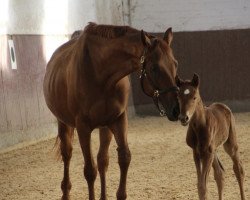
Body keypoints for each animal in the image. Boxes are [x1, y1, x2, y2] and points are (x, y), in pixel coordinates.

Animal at [43, 22, 180, 199]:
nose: (176, 109)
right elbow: (90, 171)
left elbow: (124, 158)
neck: (101, 73)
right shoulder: (83, 127)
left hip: (104, 127)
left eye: (175, 64)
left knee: (102, 161)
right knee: (67, 154)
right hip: (64, 122)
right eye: (154, 68)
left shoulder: (118, 120)